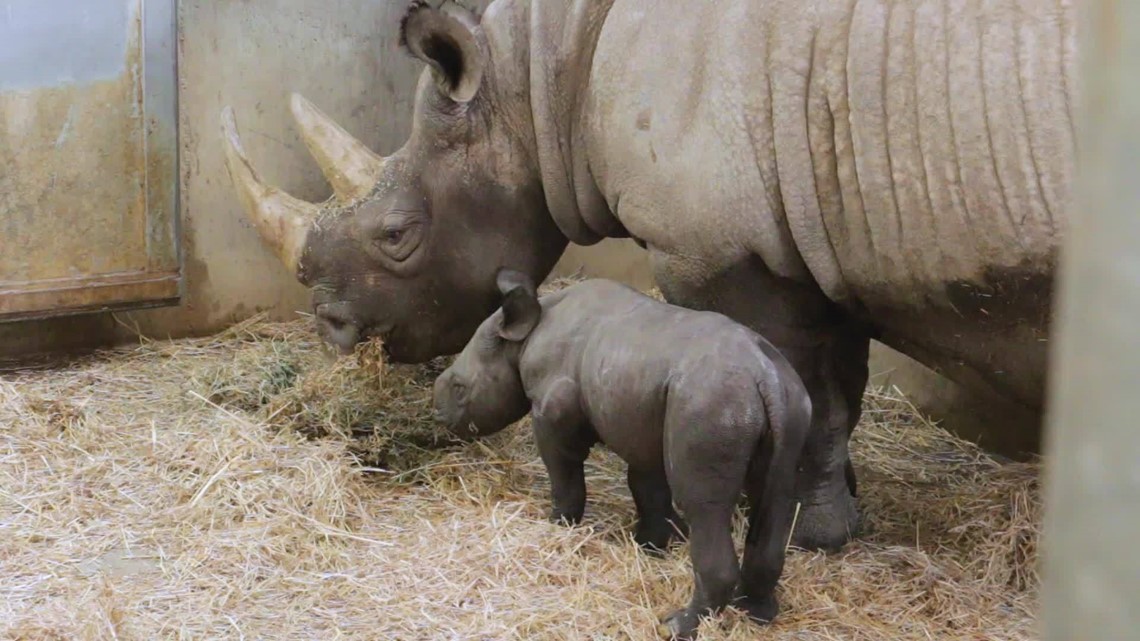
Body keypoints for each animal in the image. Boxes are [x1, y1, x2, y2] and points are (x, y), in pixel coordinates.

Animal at [220, 0, 1074, 552]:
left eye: (396, 235)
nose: (330, 328)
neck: (537, 87)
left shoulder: (729, 252)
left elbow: (809, 389)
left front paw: (806, 532)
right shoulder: (812, 248)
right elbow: (841, 391)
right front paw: (836, 512)